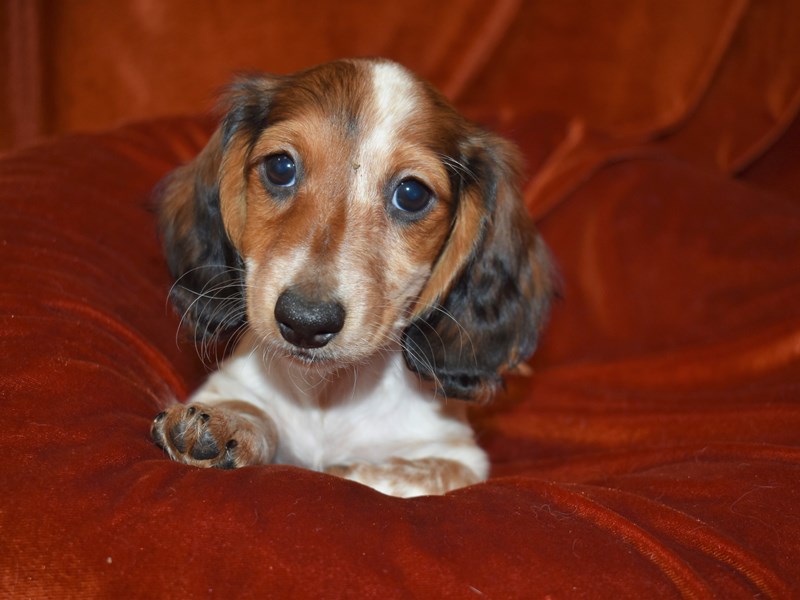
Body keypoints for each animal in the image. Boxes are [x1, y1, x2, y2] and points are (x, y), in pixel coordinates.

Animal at [148, 58, 552, 496]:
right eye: (280, 167)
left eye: (412, 194)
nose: (305, 322)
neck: (328, 391)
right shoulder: (233, 384)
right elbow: (252, 408)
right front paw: (222, 423)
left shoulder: (457, 457)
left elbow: (370, 473)